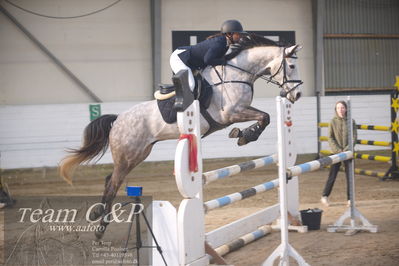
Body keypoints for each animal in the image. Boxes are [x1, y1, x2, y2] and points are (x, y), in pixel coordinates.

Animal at [59, 34, 304, 238]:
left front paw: (243, 134)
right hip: (128, 155)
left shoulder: (238, 112)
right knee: (113, 184)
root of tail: (118, 119)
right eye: (291, 66)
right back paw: (100, 229)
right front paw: (245, 135)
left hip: (138, 154)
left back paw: (97, 214)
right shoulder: (232, 113)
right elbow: (265, 117)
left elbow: (265, 117)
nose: (298, 94)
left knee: (110, 179)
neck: (237, 73)